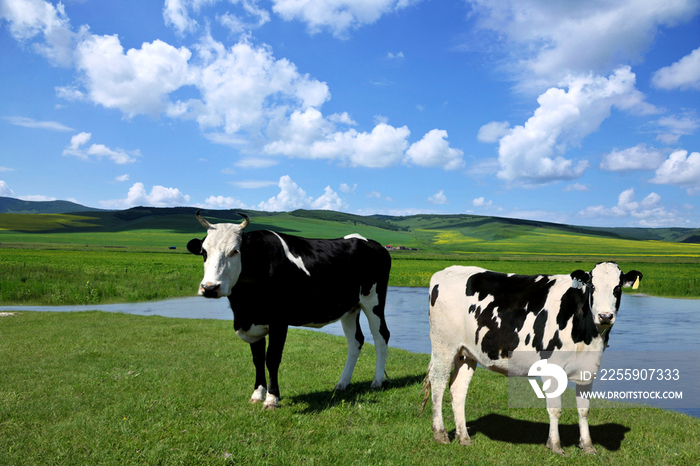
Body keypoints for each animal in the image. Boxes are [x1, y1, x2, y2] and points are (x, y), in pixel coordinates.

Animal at [186, 211, 394, 408]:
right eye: (204, 252)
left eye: (235, 251)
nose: (210, 287)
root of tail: (372, 244)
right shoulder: (254, 323)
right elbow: (257, 359)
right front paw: (257, 395)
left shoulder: (279, 320)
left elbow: (272, 358)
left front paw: (271, 399)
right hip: (350, 308)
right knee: (355, 340)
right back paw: (342, 383)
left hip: (373, 300)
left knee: (381, 335)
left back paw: (377, 381)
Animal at [424, 262, 644, 456]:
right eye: (592, 286)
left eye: (617, 287)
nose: (605, 316)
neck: (586, 332)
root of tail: (447, 271)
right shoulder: (553, 368)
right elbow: (555, 409)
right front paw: (555, 445)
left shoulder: (588, 370)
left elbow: (584, 410)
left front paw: (587, 446)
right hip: (444, 346)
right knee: (438, 384)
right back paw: (440, 433)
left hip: (466, 353)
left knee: (458, 389)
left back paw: (464, 437)